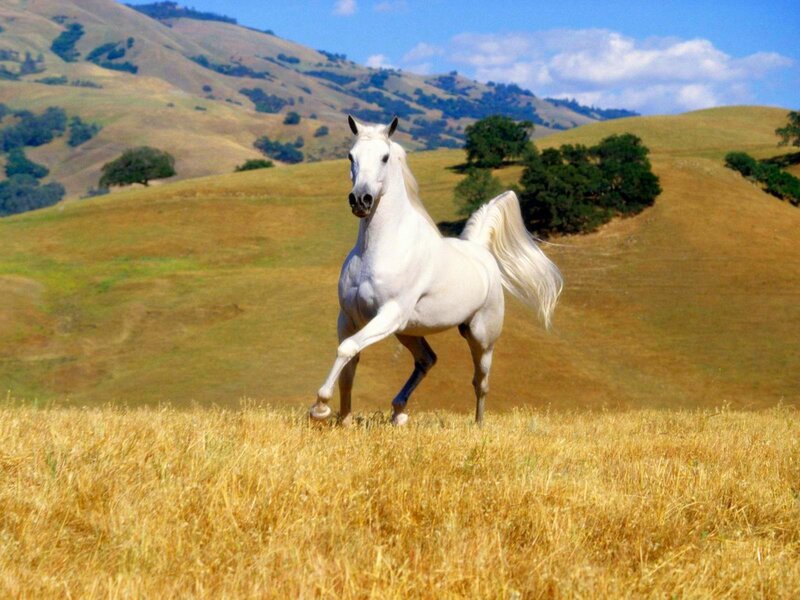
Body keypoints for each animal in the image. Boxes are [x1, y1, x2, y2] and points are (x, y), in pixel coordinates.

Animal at [309, 116, 563, 426]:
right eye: (350, 156)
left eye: (384, 157)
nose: (361, 200)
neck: (377, 249)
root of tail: (479, 250)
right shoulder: (349, 317)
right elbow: (349, 364)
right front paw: (342, 420)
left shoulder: (388, 314)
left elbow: (347, 349)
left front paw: (320, 408)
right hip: (407, 331)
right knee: (427, 360)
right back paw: (398, 412)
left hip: (480, 336)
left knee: (480, 382)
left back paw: (478, 426)